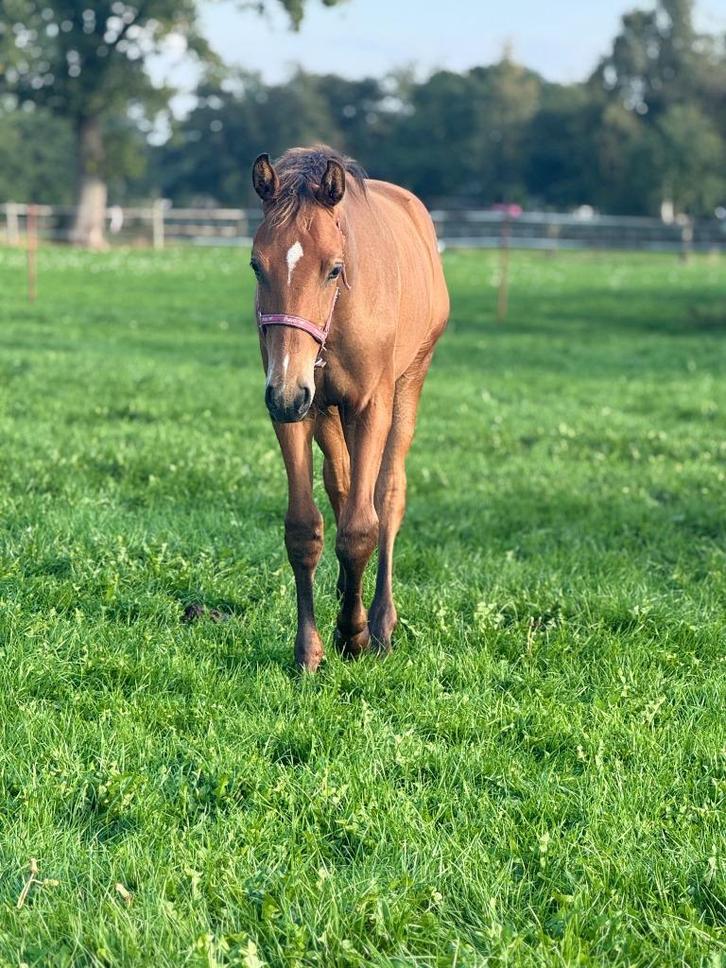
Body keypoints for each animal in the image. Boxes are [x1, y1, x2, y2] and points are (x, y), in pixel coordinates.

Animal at [250, 146, 449, 671]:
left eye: (334, 269)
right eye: (257, 265)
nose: (287, 390)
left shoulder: (370, 405)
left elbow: (363, 526)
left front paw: (356, 635)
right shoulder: (295, 409)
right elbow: (304, 529)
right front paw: (310, 650)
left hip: (409, 383)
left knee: (388, 493)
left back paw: (380, 621)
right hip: (323, 413)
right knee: (340, 484)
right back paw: (346, 596)